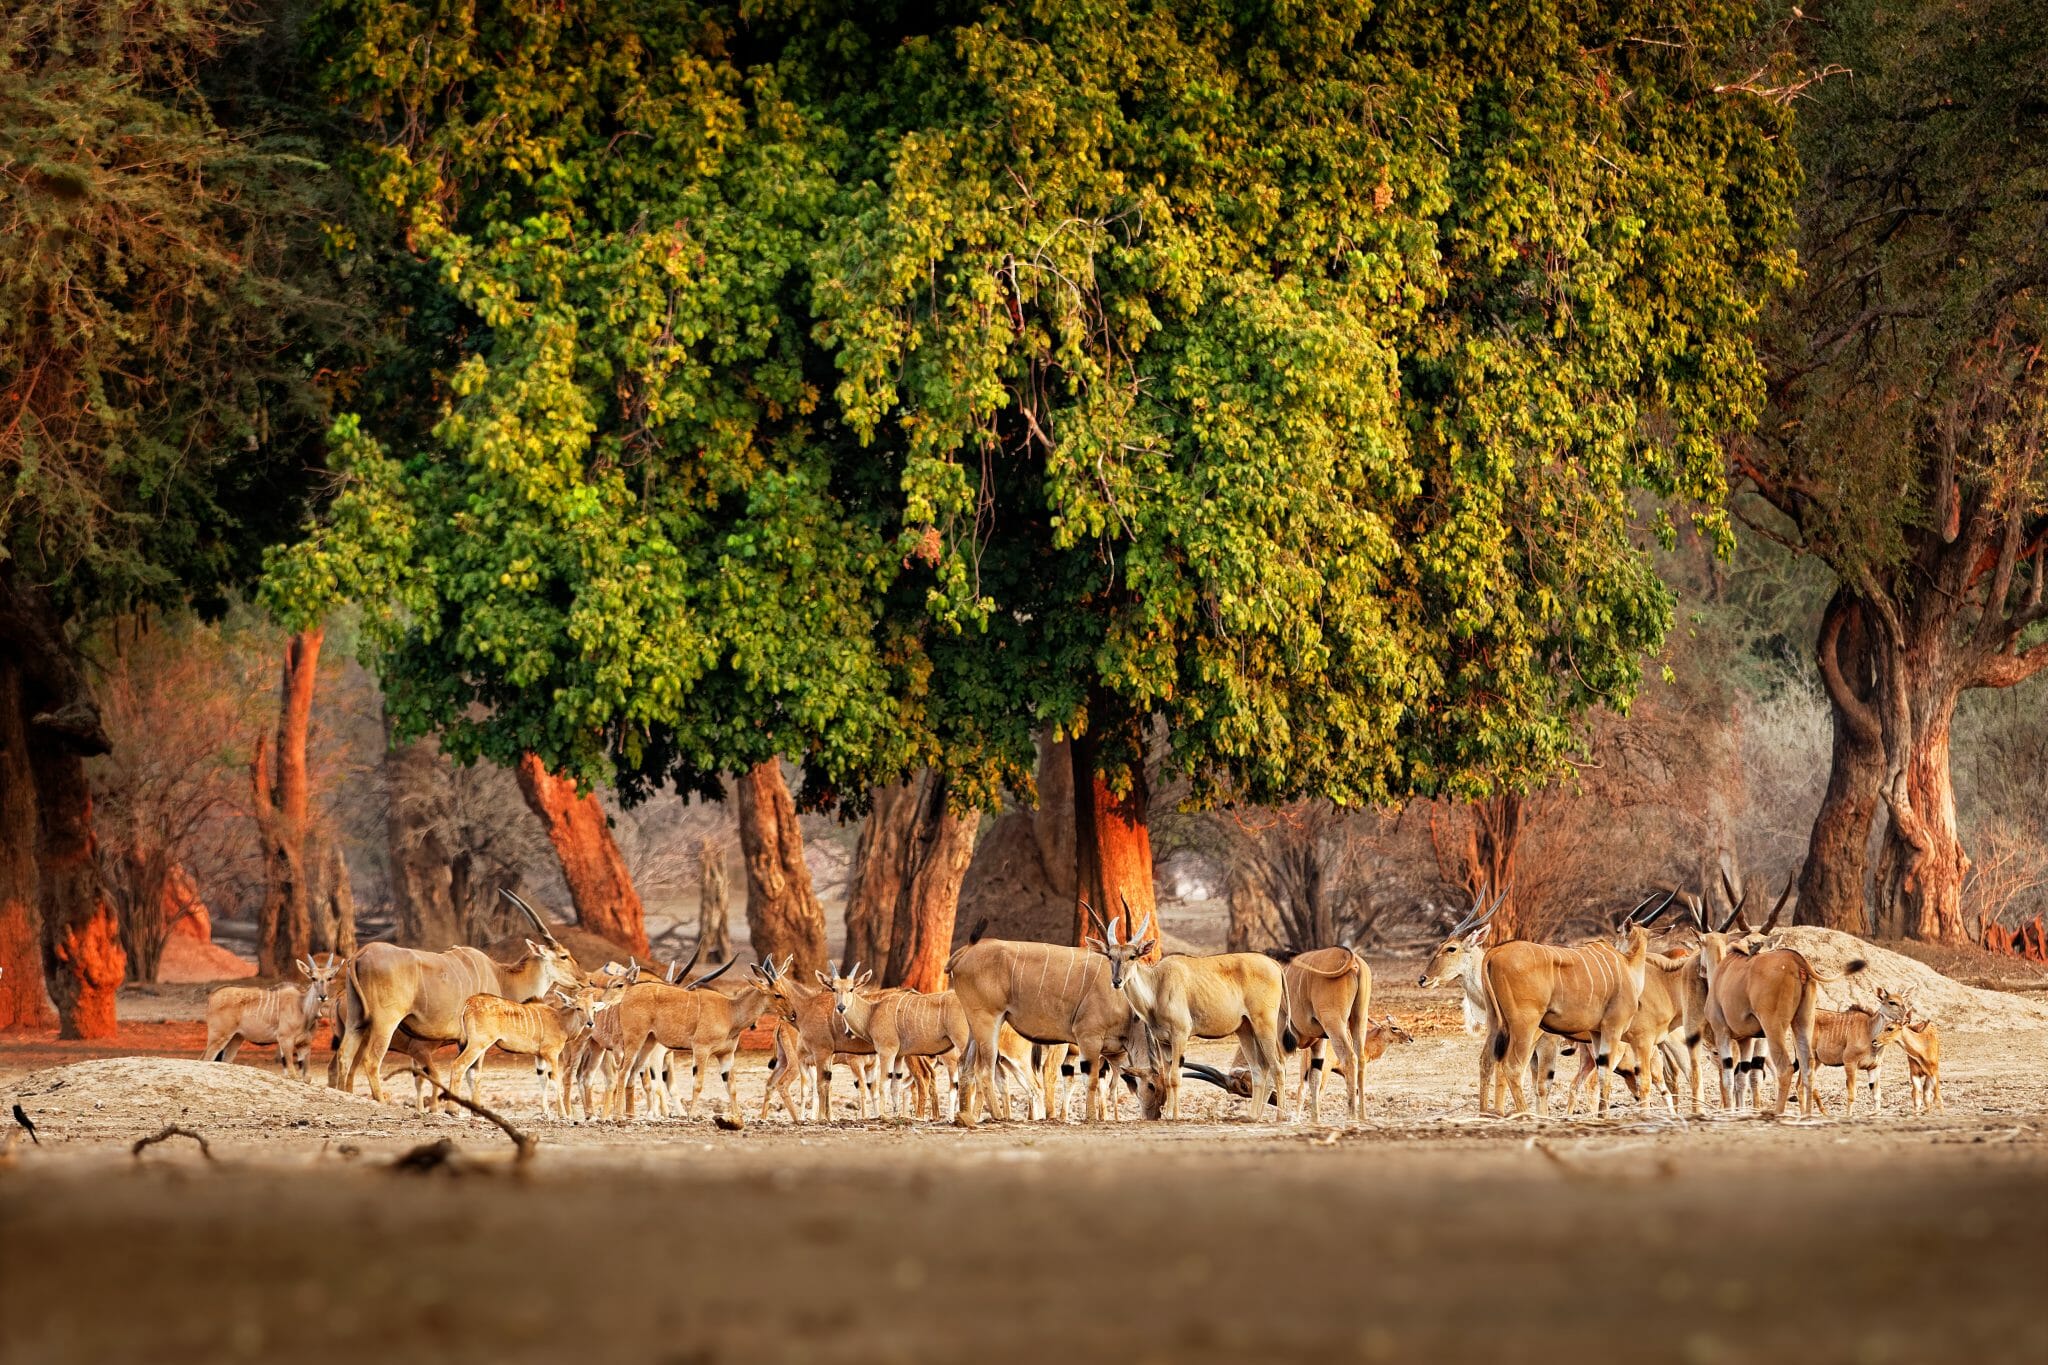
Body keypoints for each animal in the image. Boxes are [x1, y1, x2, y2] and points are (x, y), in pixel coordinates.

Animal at [331, 892, 581, 1105]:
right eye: (564, 956)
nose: (584, 980)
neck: (501, 976)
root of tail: (360, 954)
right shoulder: (480, 1039)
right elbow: (474, 1074)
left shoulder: (463, 1041)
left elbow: (465, 1073)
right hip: (385, 1024)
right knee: (371, 1060)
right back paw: (380, 1100)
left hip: (356, 1022)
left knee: (343, 1056)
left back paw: (346, 1095)